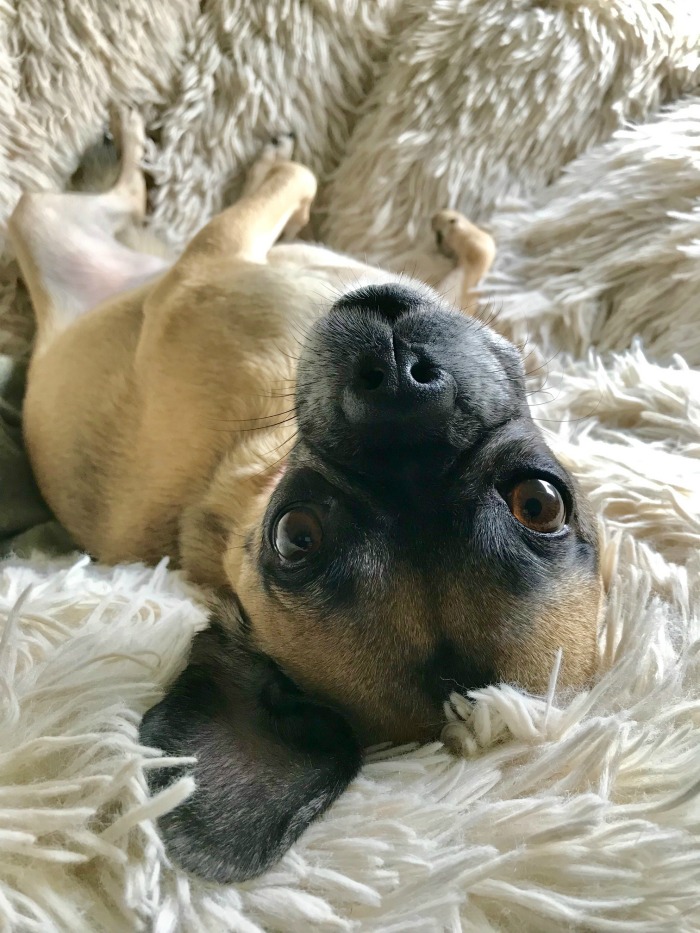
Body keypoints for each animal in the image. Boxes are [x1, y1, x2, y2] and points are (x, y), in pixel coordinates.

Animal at [8, 111, 603, 884]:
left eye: (296, 536)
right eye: (541, 502)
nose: (401, 386)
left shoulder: (209, 262)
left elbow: (285, 186)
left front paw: (275, 170)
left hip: (47, 221)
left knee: (103, 204)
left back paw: (140, 155)